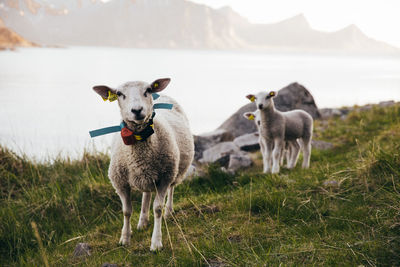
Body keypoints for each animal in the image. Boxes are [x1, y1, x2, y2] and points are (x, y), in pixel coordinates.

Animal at [92, 78, 195, 252]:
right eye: (119, 94)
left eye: (148, 90)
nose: (137, 110)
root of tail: (163, 95)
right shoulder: (120, 182)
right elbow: (126, 211)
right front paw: (125, 238)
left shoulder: (164, 178)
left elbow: (157, 208)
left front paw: (156, 243)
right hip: (147, 175)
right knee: (146, 194)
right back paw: (142, 221)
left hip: (175, 170)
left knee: (172, 189)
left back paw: (169, 212)